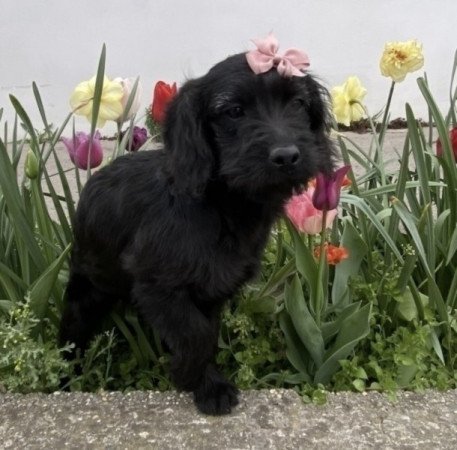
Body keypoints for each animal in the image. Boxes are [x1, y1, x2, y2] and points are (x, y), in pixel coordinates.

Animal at [58, 51, 334, 414]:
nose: (287, 156)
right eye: (233, 111)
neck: (220, 204)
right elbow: (196, 335)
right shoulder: (156, 285)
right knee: (71, 332)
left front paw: (201, 378)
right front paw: (199, 382)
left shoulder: (212, 288)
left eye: (299, 103)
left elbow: (206, 332)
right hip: (88, 290)